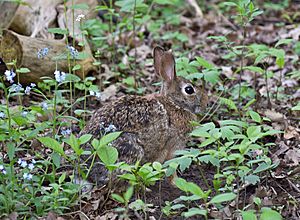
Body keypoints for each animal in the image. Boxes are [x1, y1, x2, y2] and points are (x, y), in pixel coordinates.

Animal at [78, 46, 207, 186]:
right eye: (189, 90)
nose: (205, 102)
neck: (174, 103)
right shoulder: (173, 147)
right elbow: (171, 167)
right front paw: (177, 182)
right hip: (130, 150)